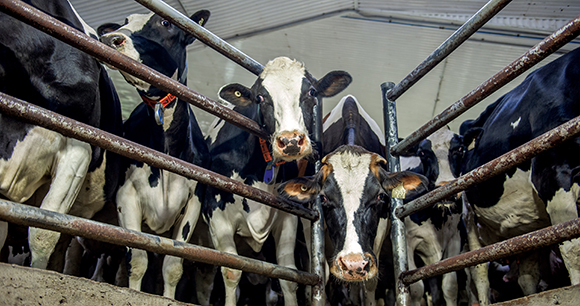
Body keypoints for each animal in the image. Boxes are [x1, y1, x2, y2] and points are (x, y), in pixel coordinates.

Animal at [99, 9, 211, 298]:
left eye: (165, 22)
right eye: (124, 22)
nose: (109, 38)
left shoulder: (194, 201)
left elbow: (172, 266)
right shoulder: (126, 195)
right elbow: (138, 260)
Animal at [202, 56, 352, 304]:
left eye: (311, 92)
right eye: (260, 97)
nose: (290, 141)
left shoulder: (288, 217)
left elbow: (287, 275)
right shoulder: (216, 214)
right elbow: (231, 269)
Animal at [456, 47, 580, 304]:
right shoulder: (552, 175)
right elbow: (574, 250)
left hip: (528, 225)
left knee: (526, 275)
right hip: (469, 216)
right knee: (479, 270)